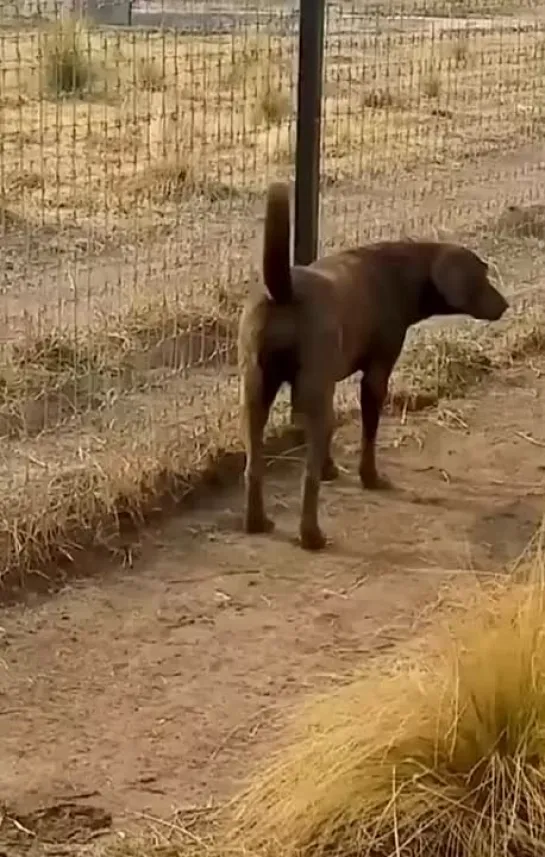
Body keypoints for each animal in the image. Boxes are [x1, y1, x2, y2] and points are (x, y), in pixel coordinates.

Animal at [237, 184, 506, 552]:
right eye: (482, 276)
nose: (506, 304)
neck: (402, 271)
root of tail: (283, 290)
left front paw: (331, 469)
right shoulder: (376, 375)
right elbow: (369, 433)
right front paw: (371, 477)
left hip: (256, 392)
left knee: (254, 464)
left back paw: (257, 522)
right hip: (308, 394)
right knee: (307, 480)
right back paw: (312, 535)